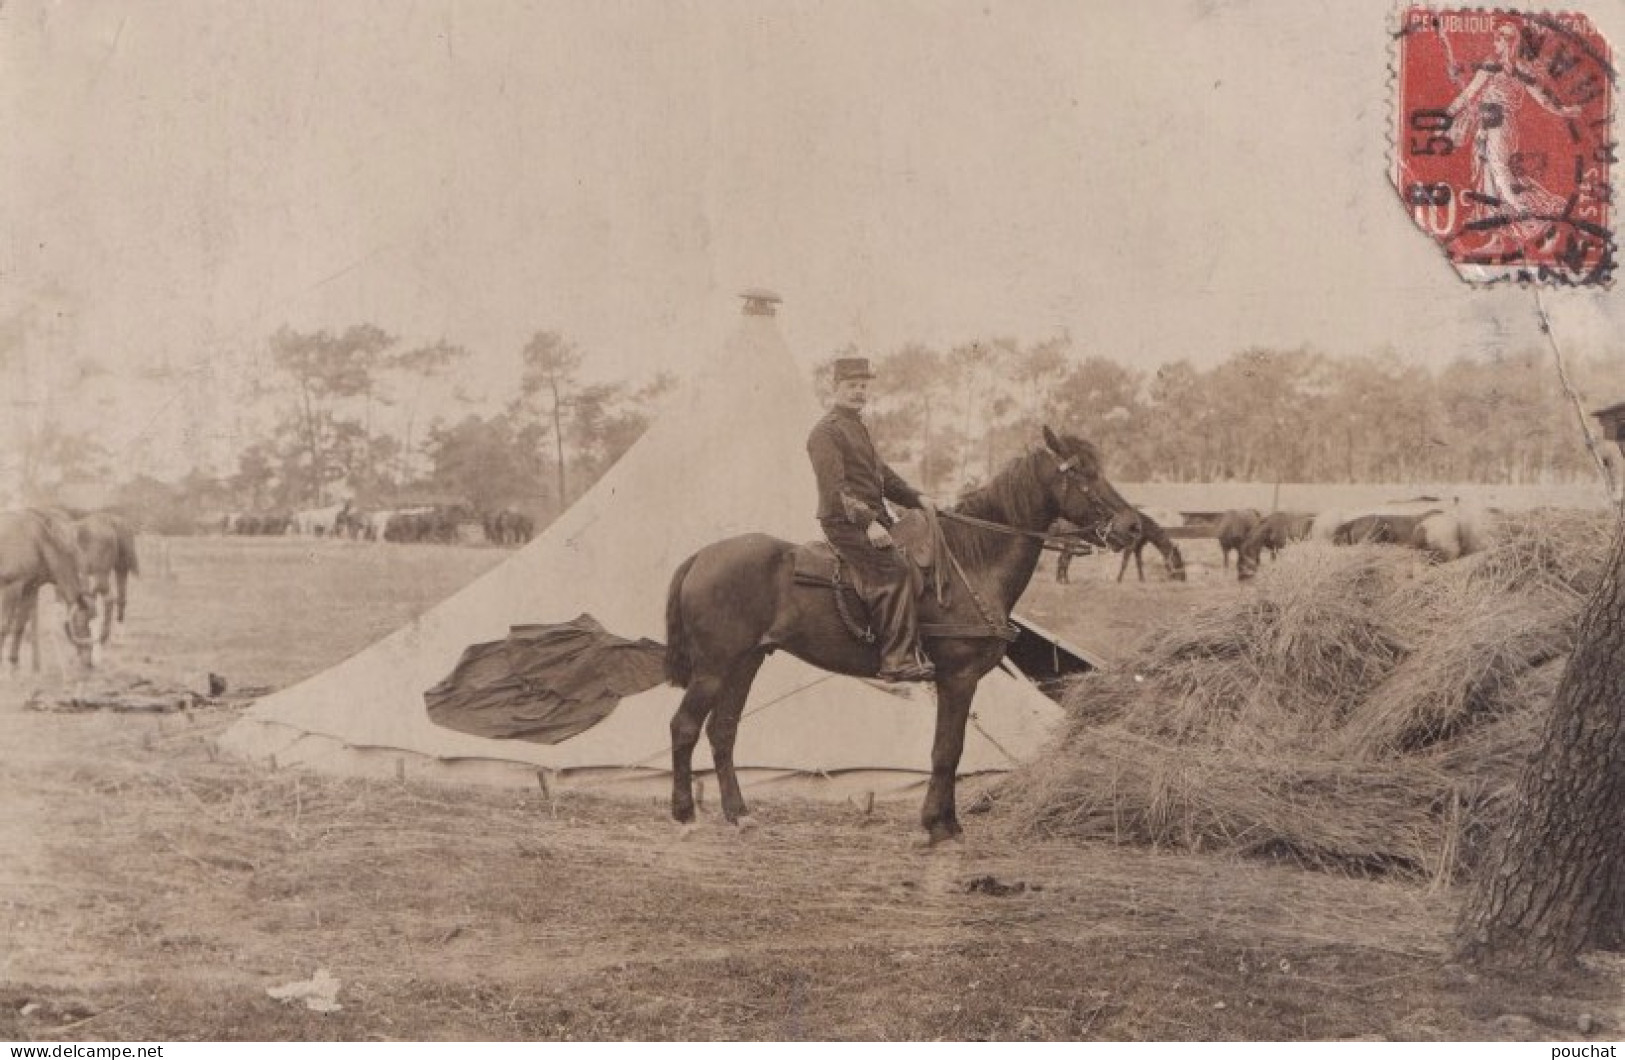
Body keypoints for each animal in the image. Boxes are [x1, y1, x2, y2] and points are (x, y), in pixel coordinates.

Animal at [0, 507, 96, 669]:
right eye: (83, 623)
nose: (89, 663)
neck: (40, 540)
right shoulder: (11, 588)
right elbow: (4, 627)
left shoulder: (29, 589)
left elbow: (20, 625)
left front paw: (14, 663)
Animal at [73, 513, 139, 647]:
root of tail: (111, 521)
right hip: (120, 569)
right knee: (121, 599)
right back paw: (118, 637)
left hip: (101, 575)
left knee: (109, 599)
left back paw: (102, 639)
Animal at [656, 425, 1131, 851]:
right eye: (1084, 472)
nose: (1131, 527)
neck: (970, 562)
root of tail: (700, 557)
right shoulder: (958, 677)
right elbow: (947, 751)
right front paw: (936, 827)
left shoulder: (960, 681)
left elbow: (952, 749)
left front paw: (949, 824)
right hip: (714, 668)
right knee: (684, 727)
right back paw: (685, 815)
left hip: (745, 663)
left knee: (722, 731)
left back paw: (739, 814)